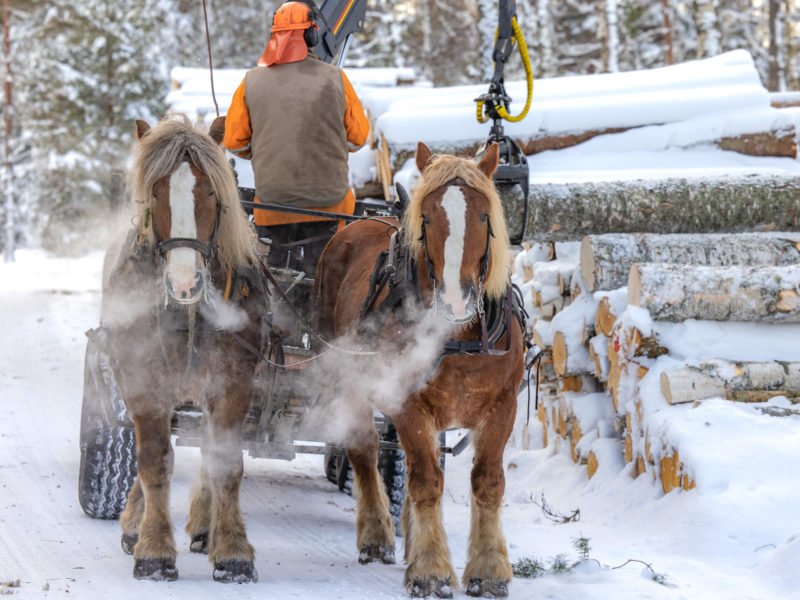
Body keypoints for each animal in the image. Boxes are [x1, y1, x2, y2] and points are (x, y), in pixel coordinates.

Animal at [100, 115, 268, 583]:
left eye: (210, 191)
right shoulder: (144, 382)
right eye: (155, 192)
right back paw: (133, 524)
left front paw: (233, 551)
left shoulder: (232, 383)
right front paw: (154, 549)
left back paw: (204, 527)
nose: (184, 282)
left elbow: (226, 463)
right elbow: (154, 461)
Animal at [315, 142, 526, 598]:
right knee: (365, 449)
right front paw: (431, 570)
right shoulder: (408, 403)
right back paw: (376, 535)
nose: (456, 300)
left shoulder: (503, 407)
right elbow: (426, 480)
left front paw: (488, 569)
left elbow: (487, 481)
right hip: (348, 377)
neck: (458, 336)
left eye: (483, 215)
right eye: (427, 217)